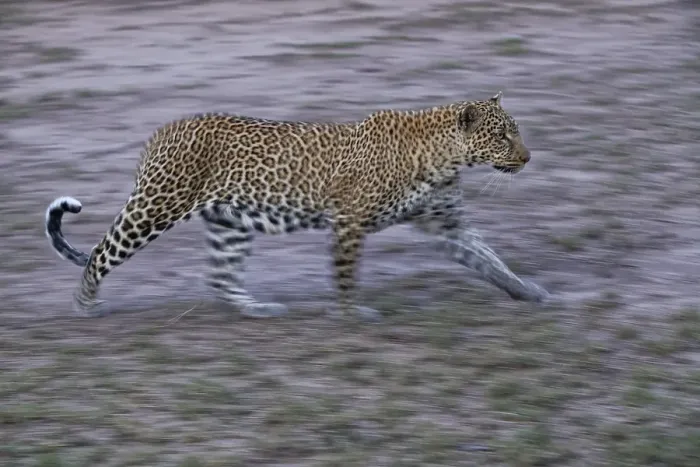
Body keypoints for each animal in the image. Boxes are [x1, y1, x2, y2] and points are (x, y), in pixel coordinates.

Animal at [45, 91, 548, 321]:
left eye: (515, 131)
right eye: (503, 135)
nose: (528, 157)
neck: (444, 158)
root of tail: (161, 132)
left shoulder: (447, 223)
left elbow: (489, 259)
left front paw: (530, 293)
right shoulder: (349, 219)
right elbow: (346, 274)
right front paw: (351, 314)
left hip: (229, 222)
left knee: (221, 276)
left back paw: (258, 308)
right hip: (156, 206)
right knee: (99, 254)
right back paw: (84, 305)